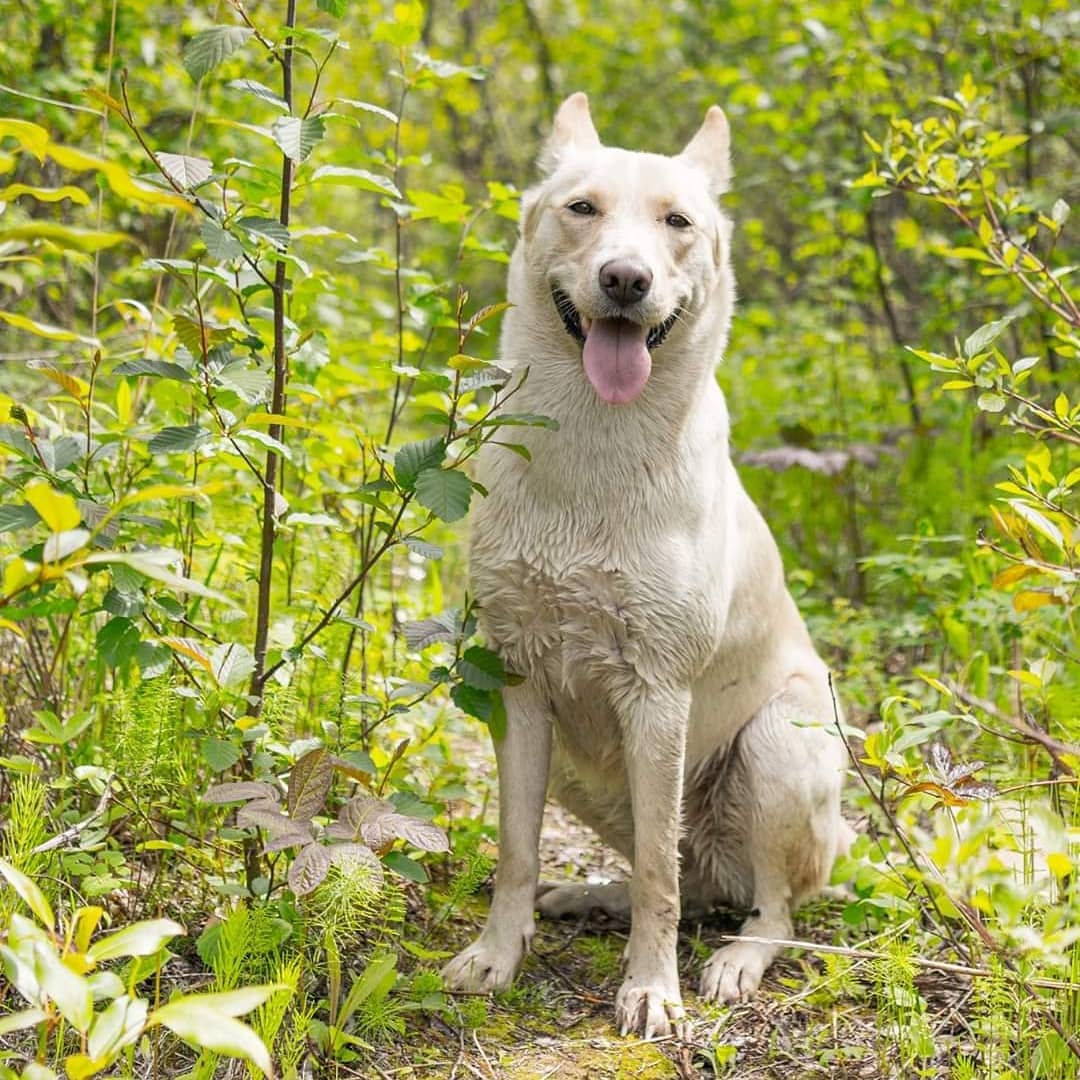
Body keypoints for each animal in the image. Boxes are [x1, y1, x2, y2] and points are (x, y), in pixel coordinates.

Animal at [442, 92, 846, 1036]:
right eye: (582, 208)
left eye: (678, 223)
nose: (626, 279)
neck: (596, 448)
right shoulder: (518, 684)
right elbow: (514, 849)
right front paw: (498, 954)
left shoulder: (658, 694)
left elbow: (662, 876)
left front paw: (652, 989)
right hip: (584, 773)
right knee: (690, 880)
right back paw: (590, 894)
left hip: (780, 743)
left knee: (764, 904)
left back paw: (735, 961)